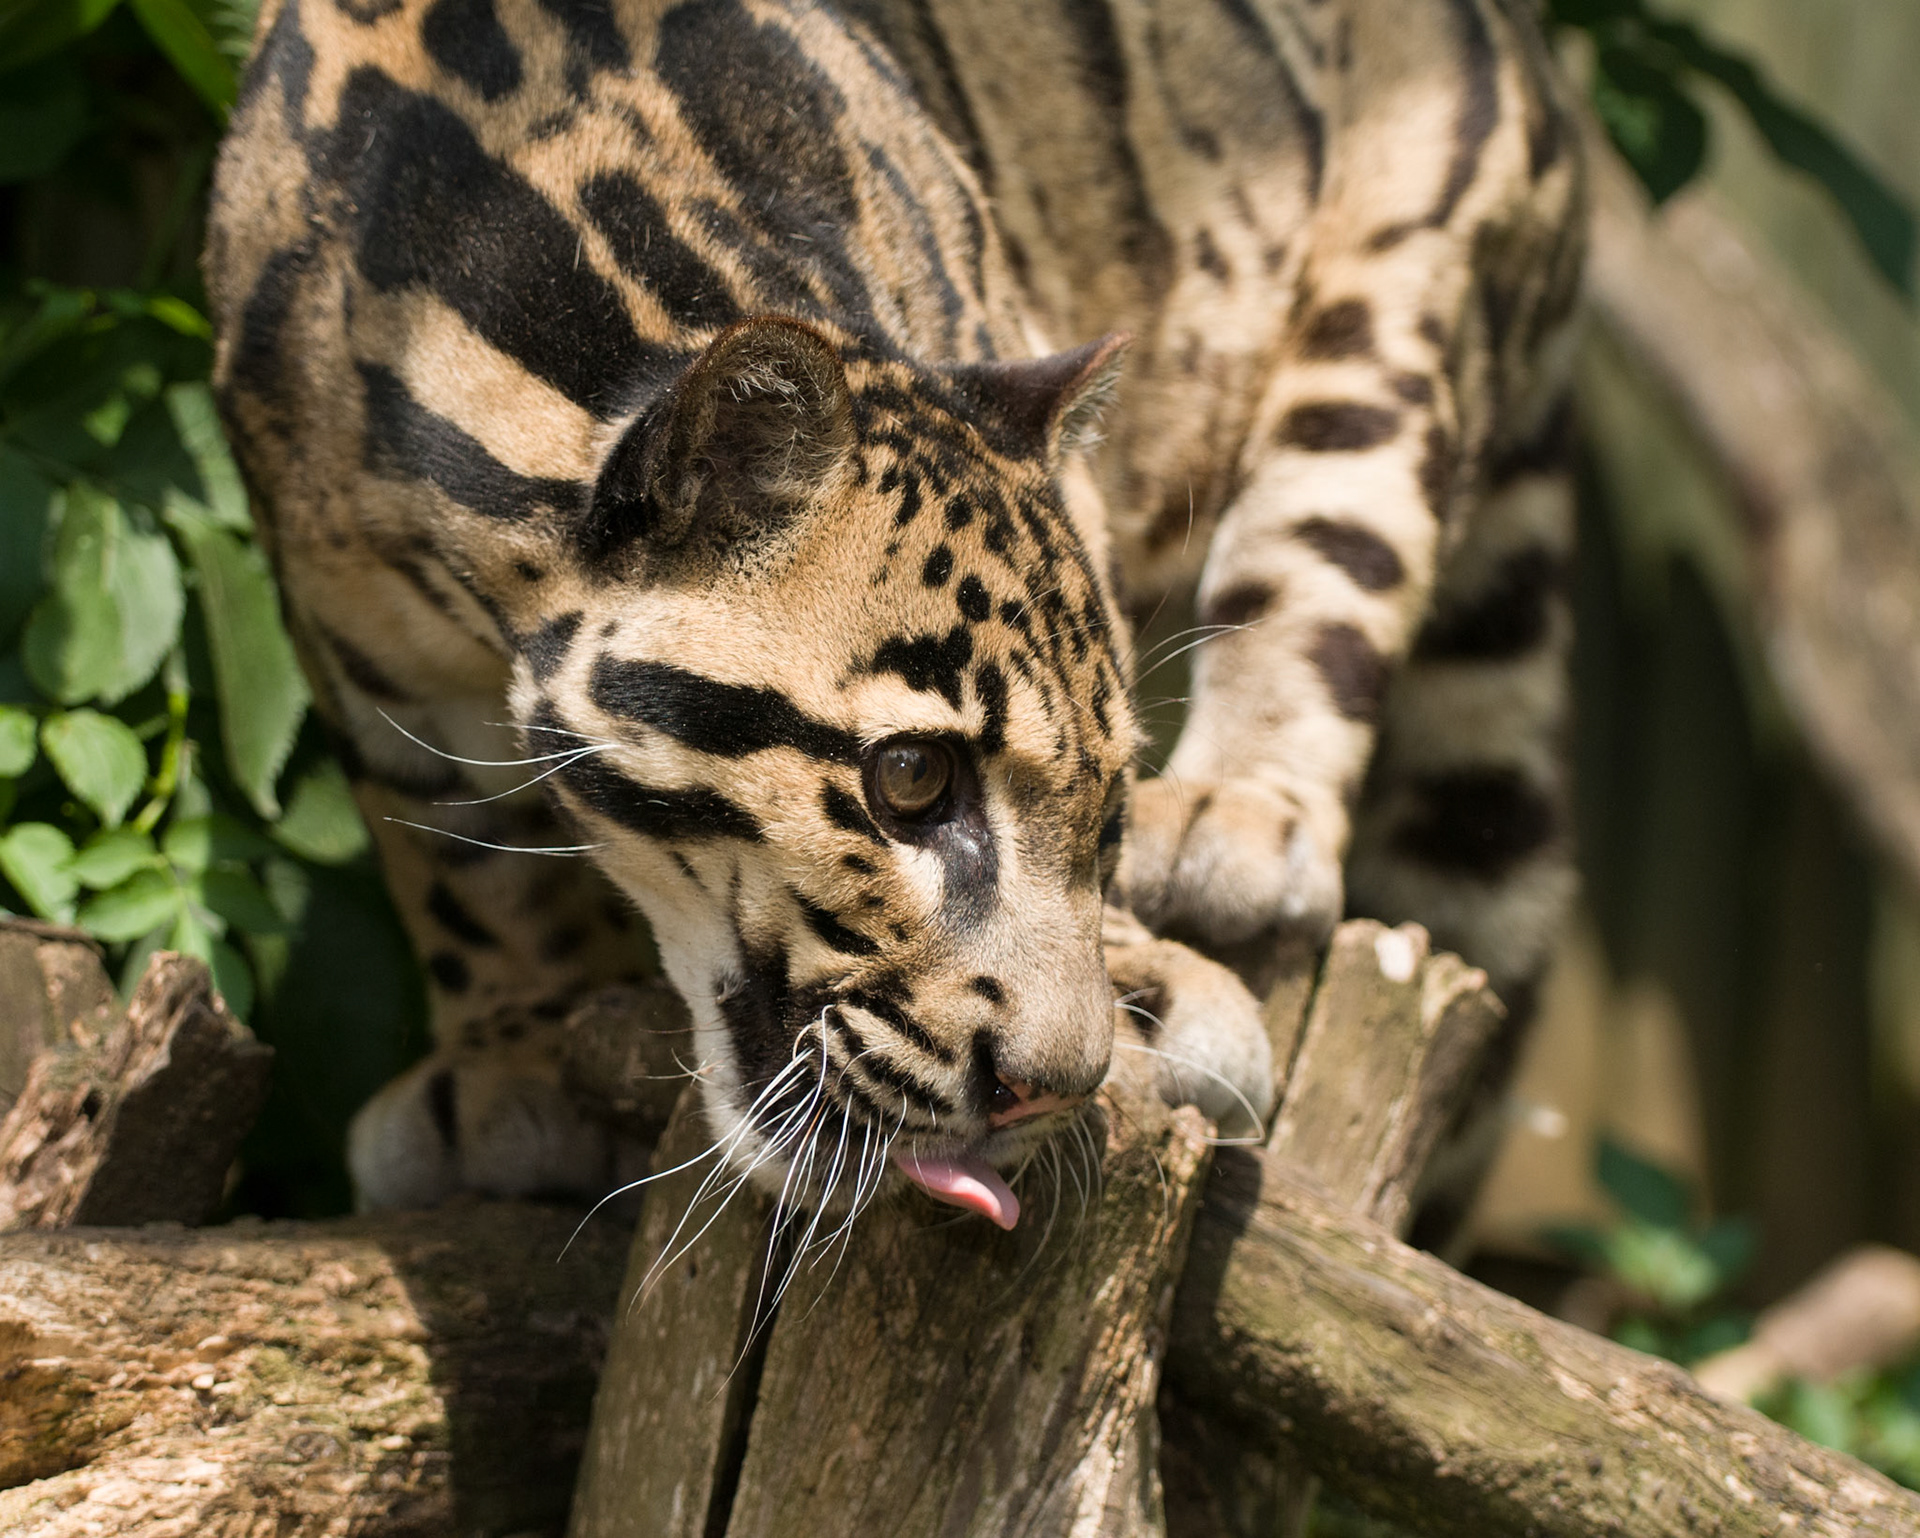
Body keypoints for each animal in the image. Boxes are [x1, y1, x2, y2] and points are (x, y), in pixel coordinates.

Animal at [205, 0, 1584, 1234]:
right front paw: (513, 1057)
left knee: (1334, 544)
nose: (1052, 1088)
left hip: (1410, 283)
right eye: (910, 780)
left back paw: (1240, 817)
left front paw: (1145, 980)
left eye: (1110, 807)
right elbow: (464, 858)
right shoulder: (354, 637)